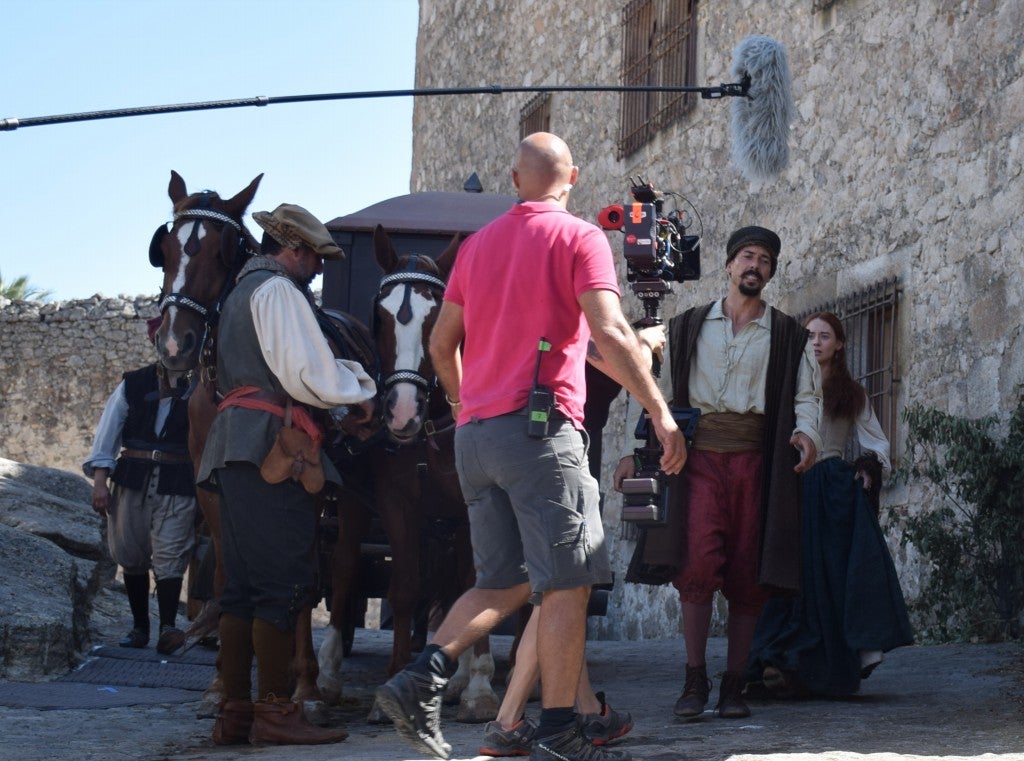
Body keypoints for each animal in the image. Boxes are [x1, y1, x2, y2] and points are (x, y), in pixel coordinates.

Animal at [315, 223, 499, 725]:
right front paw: (397, 679)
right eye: (379, 319)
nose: (400, 413)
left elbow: (477, 582)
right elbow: (405, 587)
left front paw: (479, 686)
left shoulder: (472, 505)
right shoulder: (398, 503)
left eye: (437, 319)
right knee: (346, 566)